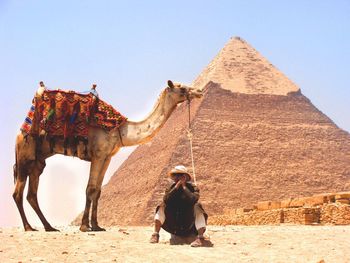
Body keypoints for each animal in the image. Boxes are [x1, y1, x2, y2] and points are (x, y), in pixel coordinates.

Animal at [13, 79, 202, 232]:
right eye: (181, 87)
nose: (199, 91)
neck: (120, 130)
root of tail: (21, 131)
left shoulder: (107, 157)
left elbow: (98, 190)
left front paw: (96, 225)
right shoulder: (98, 155)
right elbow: (90, 188)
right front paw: (84, 226)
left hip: (37, 162)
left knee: (31, 194)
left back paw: (49, 227)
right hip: (24, 156)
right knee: (18, 193)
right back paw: (29, 227)